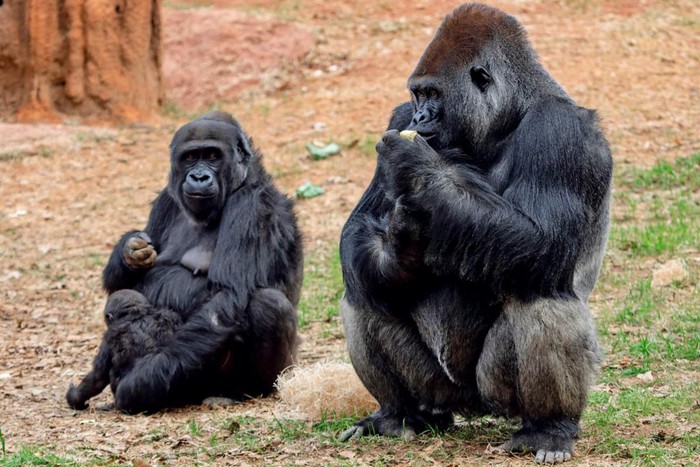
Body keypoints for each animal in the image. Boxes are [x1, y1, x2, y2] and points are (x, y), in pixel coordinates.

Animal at [66, 110, 304, 414]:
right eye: (191, 157)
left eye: (213, 155)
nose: (199, 176)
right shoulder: (165, 199)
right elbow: (124, 283)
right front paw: (130, 250)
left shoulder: (253, 205)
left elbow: (227, 294)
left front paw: (138, 385)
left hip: (275, 372)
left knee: (269, 303)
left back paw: (242, 391)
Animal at [340, 2, 612, 464]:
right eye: (417, 96)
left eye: (433, 95)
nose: (420, 117)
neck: (510, 114)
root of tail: (471, 407)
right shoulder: (395, 118)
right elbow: (359, 227)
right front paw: (399, 251)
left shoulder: (562, 131)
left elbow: (542, 241)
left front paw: (420, 169)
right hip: (437, 389)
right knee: (364, 288)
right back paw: (398, 414)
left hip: (493, 394)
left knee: (539, 296)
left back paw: (549, 428)